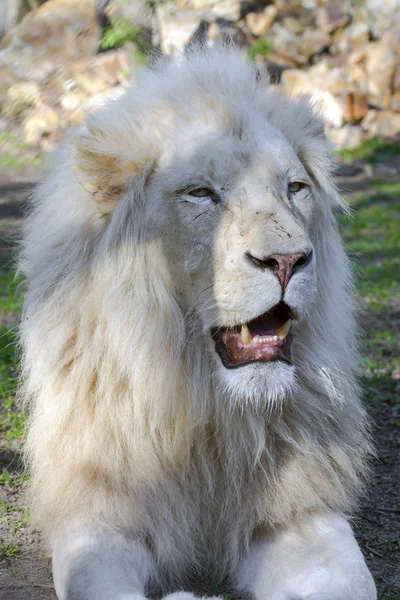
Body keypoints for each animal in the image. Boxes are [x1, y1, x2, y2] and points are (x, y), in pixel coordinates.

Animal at [18, 49, 376, 600]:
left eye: (294, 188)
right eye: (201, 194)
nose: (287, 260)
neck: (206, 411)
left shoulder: (300, 509)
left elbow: (353, 585)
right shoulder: (97, 512)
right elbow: (96, 581)